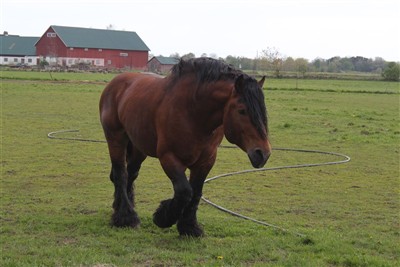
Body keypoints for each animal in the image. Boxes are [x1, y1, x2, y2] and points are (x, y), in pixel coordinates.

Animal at [99, 57, 272, 238]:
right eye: (242, 110)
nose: (263, 153)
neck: (193, 112)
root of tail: (115, 83)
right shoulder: (169, 157)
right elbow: (184, 192)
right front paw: (163, 217)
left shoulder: (206, 160)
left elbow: (196, 193)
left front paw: (189, 227)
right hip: (116, 139)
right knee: (120, 174)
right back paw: (126, 217)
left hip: (139, 147)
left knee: (131, 174)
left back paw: (122, 208)